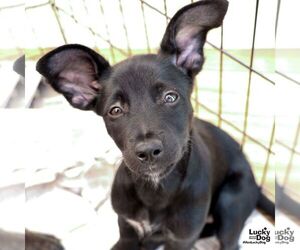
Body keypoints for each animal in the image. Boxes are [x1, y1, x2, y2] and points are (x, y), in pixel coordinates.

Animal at [35, 0, 274, 249]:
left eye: (170, 97)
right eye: (115, 110)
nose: (148, 151)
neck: (155, 190)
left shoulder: (181, 239)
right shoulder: (126, 228)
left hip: (231, 202)